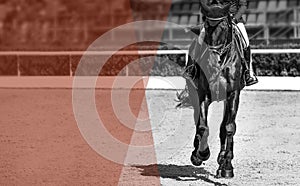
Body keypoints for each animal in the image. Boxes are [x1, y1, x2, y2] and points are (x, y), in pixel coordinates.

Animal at [178, 1, 246, 179]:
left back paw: (223, 162)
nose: (213, 63)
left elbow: (229, 128)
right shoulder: (203, 94)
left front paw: (226, 166)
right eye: (206, 27)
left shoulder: (233, 94)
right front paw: (201, 153)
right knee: (198, 122)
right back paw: (197, 153)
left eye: (223, 26)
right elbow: (203, 126)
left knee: (225, 127)